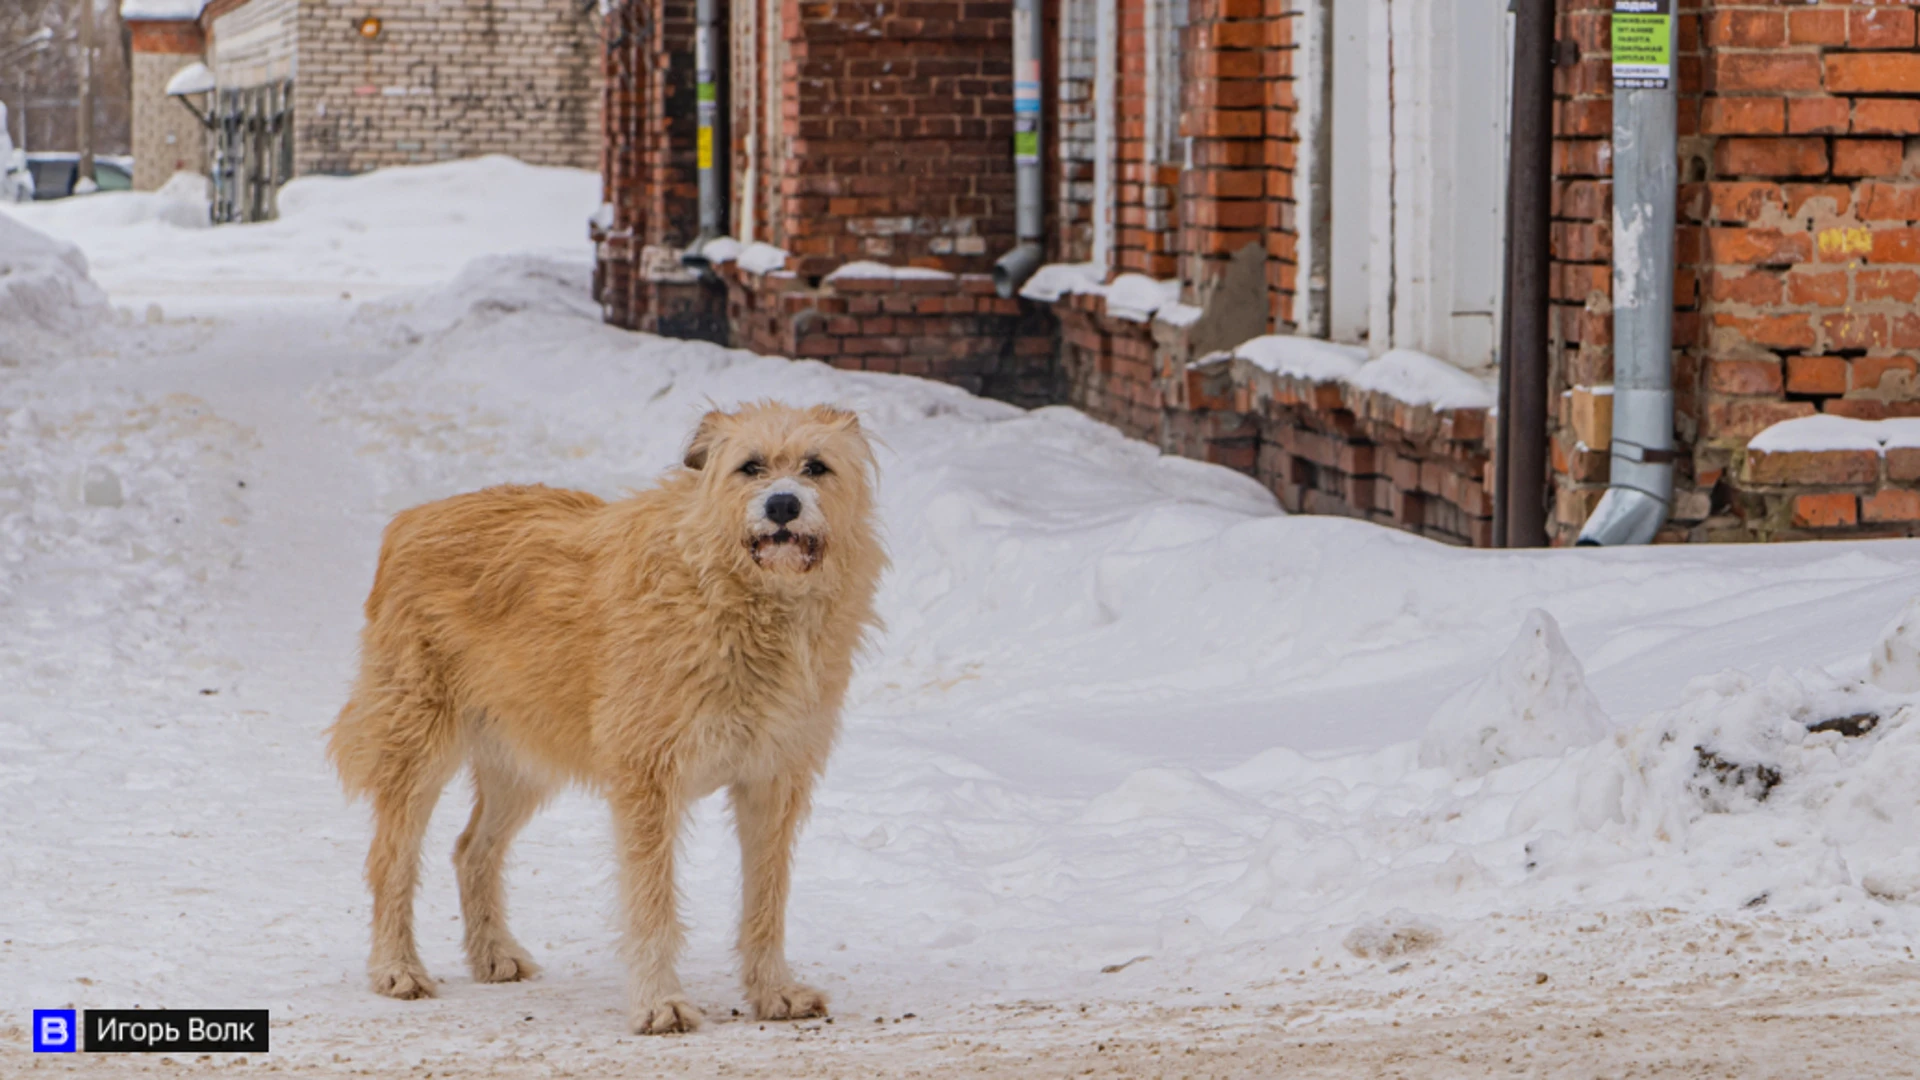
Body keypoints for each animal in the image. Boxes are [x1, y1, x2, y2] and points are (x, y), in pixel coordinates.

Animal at [328, 399, 883, 1030]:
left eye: (816, 467)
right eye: (750, 467)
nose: (783, 504)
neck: (743, 598)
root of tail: (412, 518)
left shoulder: (773, 781)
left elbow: (767, 898)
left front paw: (773, 992)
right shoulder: (649, 780)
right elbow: (652, 902)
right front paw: (660, 1002)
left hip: (523, 762)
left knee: (472, 850)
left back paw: (493, 953)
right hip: (416, 748)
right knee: (391, 859)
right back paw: (396, 968)